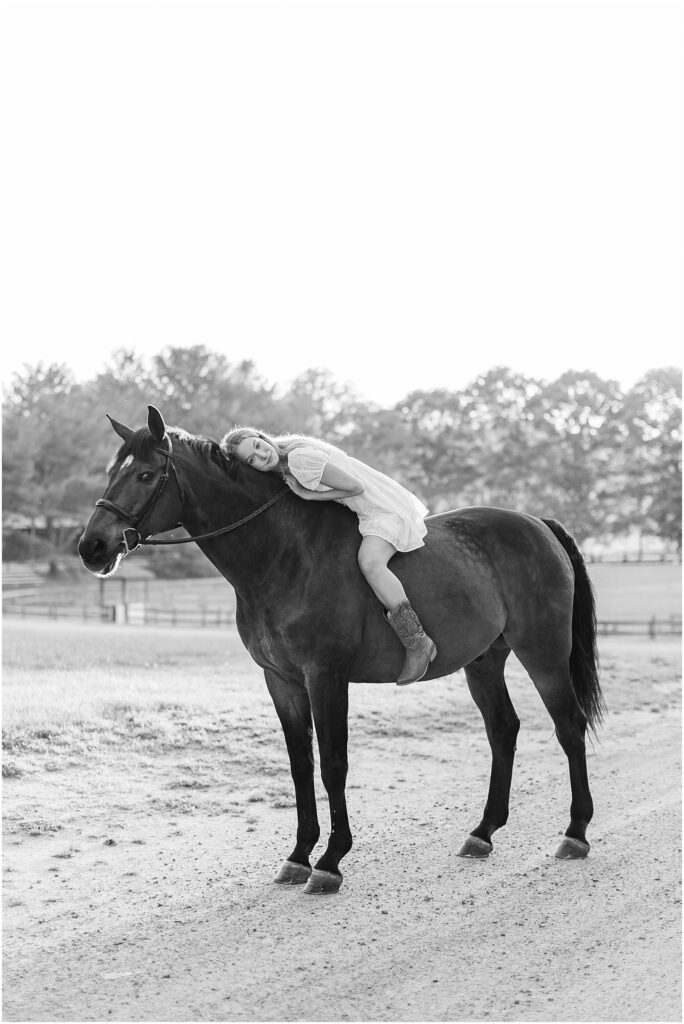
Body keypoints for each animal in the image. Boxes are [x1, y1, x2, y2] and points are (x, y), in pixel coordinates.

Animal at [78, 403, 602, 892]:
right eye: (111, 471)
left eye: (146, 474)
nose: (92, 547)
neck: (284, 554)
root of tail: (536, 523)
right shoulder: (282, 681)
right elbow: (300, 766)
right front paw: (298, 856)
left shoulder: (326, 677)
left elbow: (333, 764)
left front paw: (330, 861)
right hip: (484, 663)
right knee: (503, 730)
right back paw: (483, 832)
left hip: (543, 653)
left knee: (568, 726)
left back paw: (575, 832)